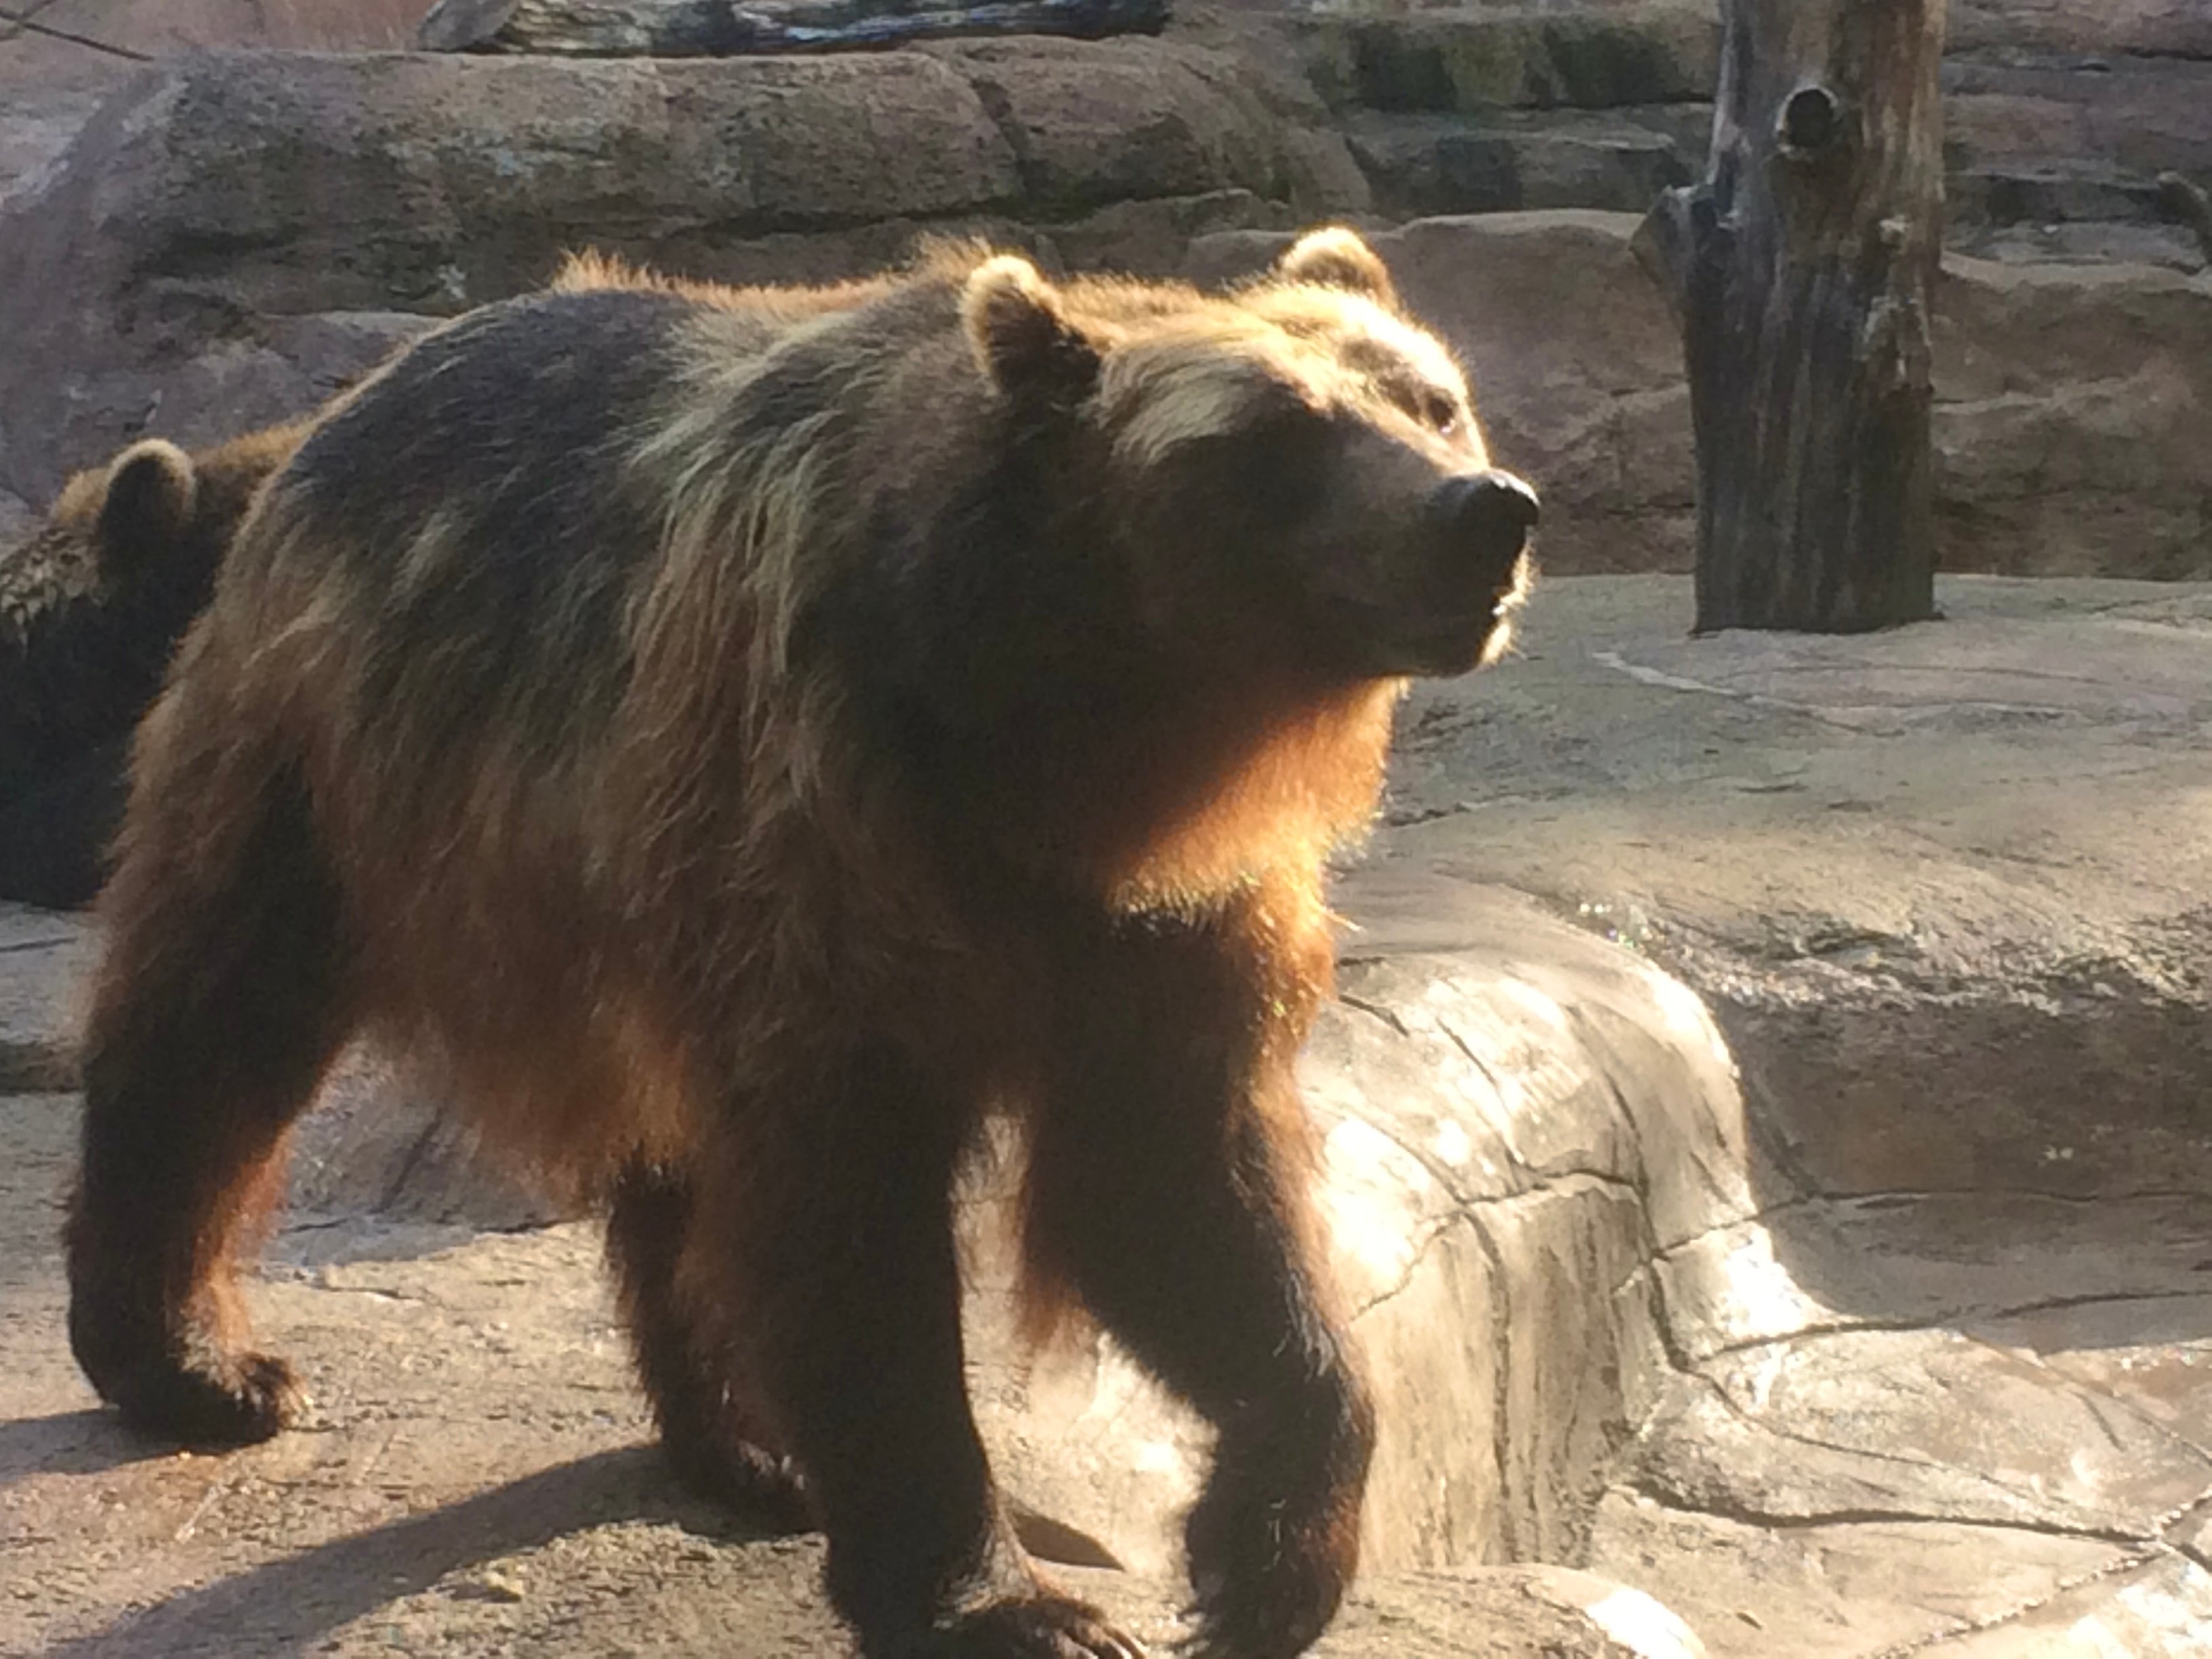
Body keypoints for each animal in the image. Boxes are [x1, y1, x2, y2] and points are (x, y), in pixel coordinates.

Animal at [66, 229, 1538, 1658]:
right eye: (1278, 434)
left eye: (1429, 398)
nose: (1485, 513)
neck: (1071, 739)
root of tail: (354, 399)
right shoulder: (833, 829)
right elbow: (854, 1219)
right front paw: (1007, 1601)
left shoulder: (1161, 918)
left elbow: (1172, 1186)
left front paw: (1265, 1555)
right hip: (338, 750)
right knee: (218, 1016)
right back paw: (196, 1360)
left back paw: (745, 1443)